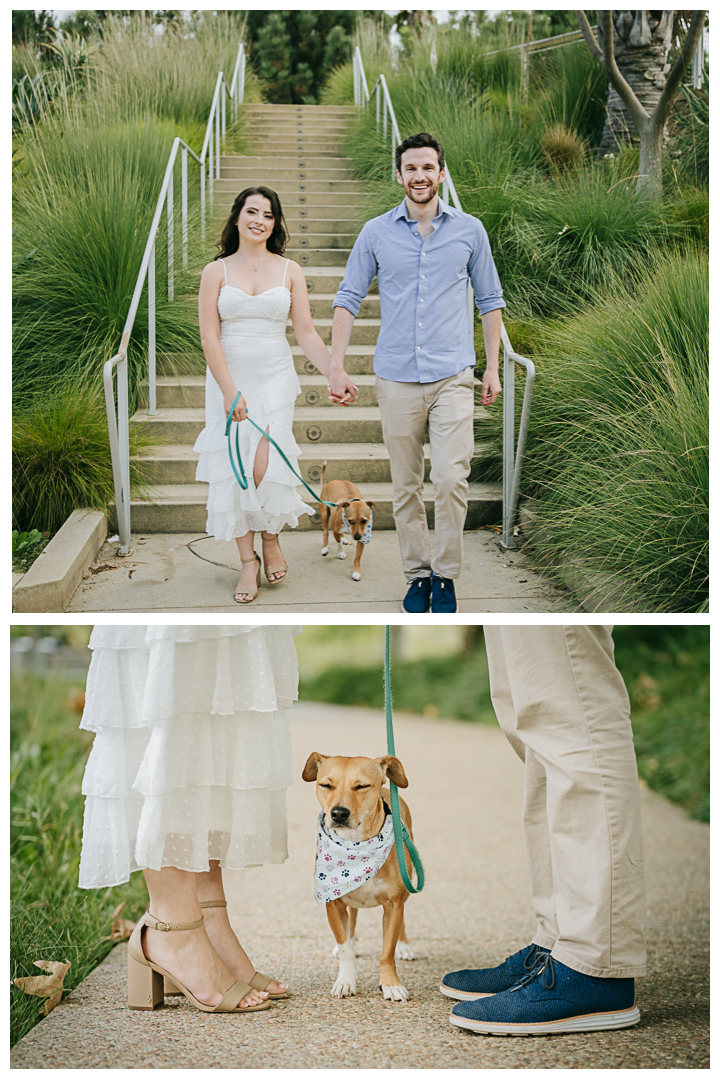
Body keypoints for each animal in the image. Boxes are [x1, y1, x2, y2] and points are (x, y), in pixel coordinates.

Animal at [302, 756, 416, 997]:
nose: (338, 813)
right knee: (351, 918)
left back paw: (404, 945)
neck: (355, 847)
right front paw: (346, 981)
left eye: (362, 786)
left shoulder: (394, 905)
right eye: (326, 785)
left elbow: (387, 951)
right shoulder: (333, 903)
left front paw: (391, 984)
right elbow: (346, 949)